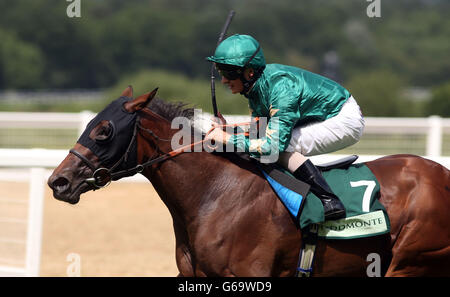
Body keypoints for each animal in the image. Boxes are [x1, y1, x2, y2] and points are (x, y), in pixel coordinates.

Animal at [48, 86, 450, 276]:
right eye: (89, 125)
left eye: (103, 131)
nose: (58, 181)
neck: (214, 195)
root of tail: (442, 175)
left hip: (411, 261)